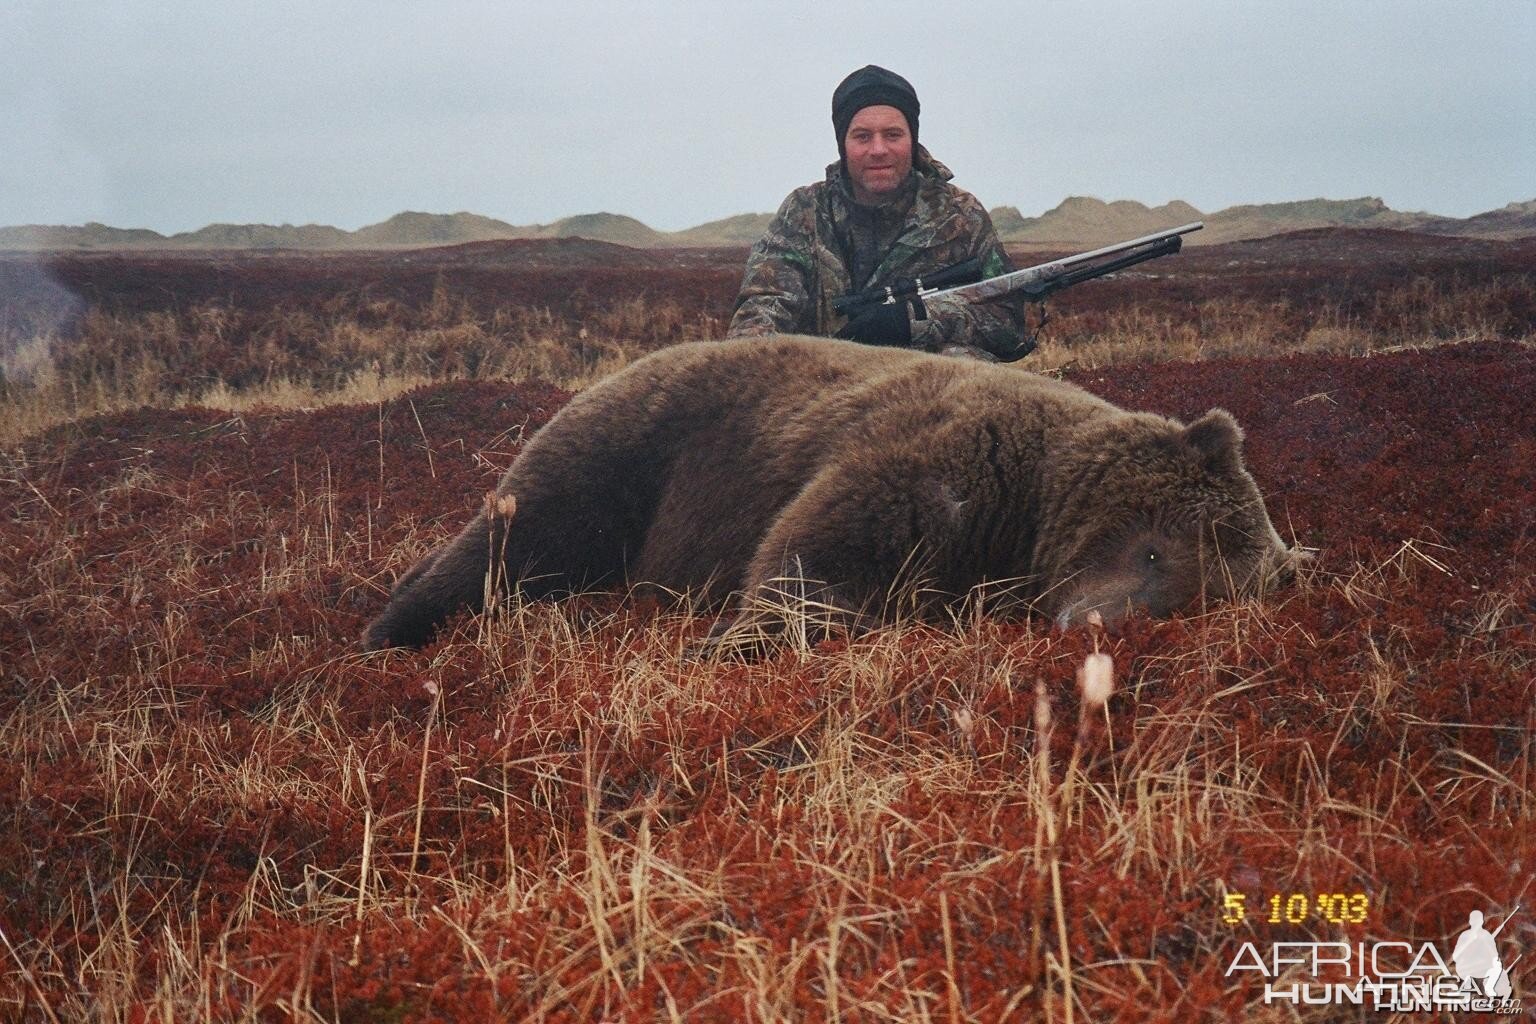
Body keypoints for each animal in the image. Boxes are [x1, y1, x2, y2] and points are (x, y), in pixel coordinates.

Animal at [362, 340, 1296, 654]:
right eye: (1155, 548)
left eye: (1203, 595)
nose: (1096, 624)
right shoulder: (933, 460)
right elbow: (816, 542)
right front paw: (732, 642)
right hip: (619, 455)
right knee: (514, 539)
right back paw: (389, 628)